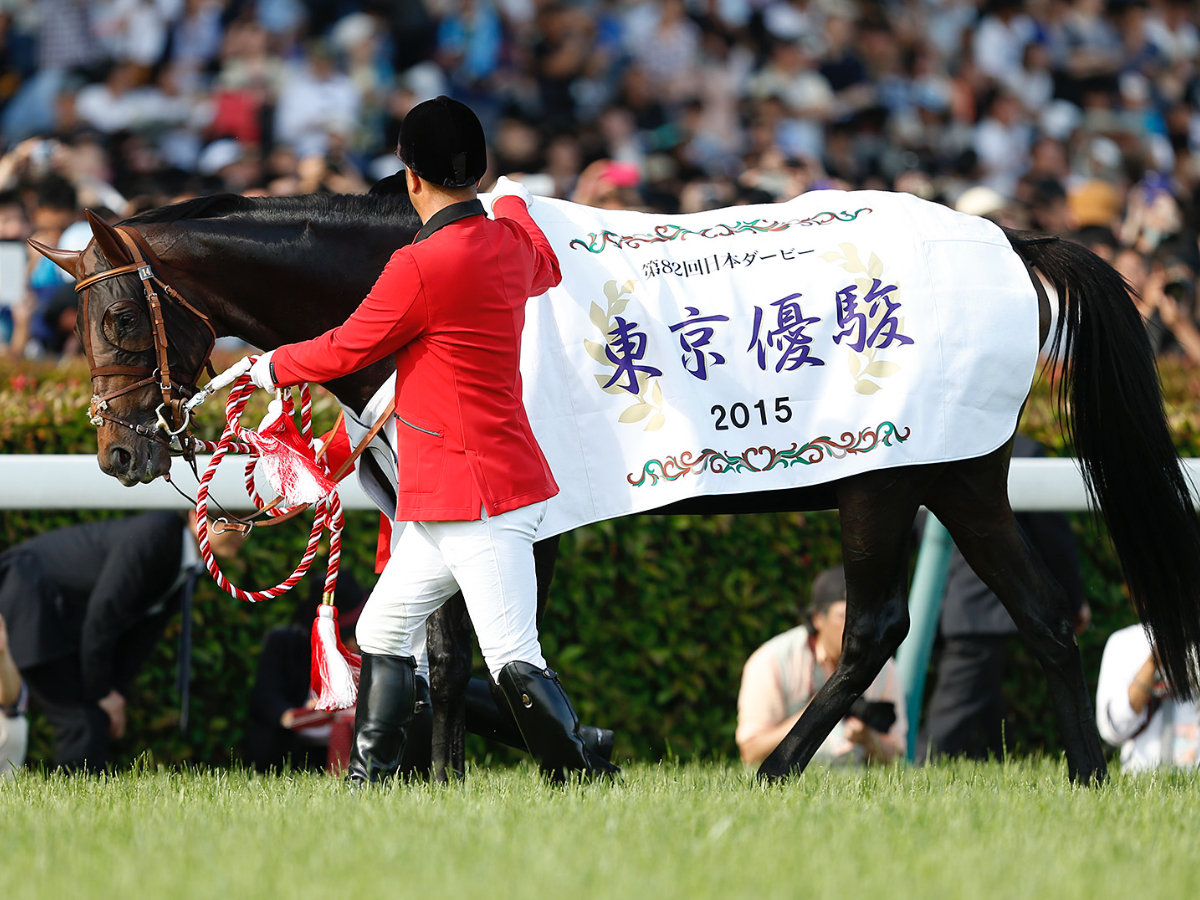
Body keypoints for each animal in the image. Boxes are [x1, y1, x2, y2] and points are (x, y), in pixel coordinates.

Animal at [31, 189, 1200, 785]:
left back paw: (773, 774)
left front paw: (559, 750)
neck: (415, 294)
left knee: (876, 627)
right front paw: (454, 772)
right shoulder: (437, 512)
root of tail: (1009, 240)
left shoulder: (515, 516)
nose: (121, 451)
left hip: (889, 480)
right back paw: (1083, 775)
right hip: (960, 477)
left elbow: (484, 654)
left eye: (121, 315)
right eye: (82, 320)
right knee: (1042, 615)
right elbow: (434, 654)